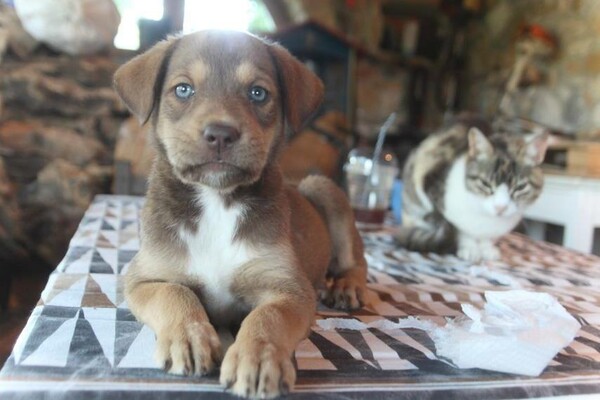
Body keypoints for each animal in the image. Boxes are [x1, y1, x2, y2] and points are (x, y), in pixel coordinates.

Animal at [112, 30, 366, 396]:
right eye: (183, 89)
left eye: (258, 93)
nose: (220, 133)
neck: (217, 200)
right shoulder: (144, 277)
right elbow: (173, 292)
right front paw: (188, 338)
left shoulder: (289, 287)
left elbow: (267, 317)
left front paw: (257, 358)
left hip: (324, 188)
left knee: (355, 260)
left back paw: (345, 285)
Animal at [398, 116, 548, 262]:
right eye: (485, 183)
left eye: (520, 187)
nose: (500, 207)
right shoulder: (431, 182)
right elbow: (461, 229)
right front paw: (469, 248)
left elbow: (487, 238)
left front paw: (487, 249)